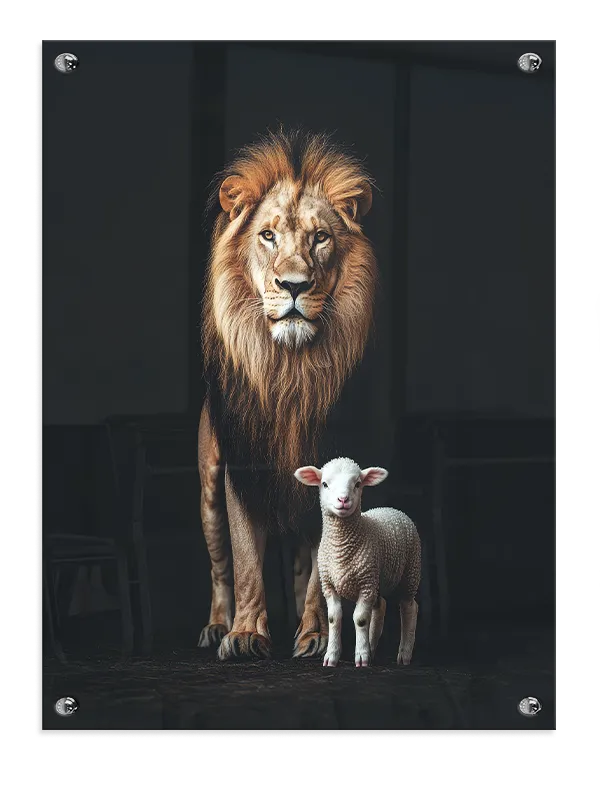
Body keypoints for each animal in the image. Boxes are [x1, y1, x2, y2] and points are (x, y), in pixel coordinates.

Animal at [197, 129, 378, 660]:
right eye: (268, 236)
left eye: (320, 237)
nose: (294, 286)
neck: (288, 371)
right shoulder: (242, 468)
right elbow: (244, 562)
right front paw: (245, 634)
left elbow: (320, 568)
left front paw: (316, 634)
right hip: (208, 487)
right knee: (219, 566)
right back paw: (216, 625)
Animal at [294, 457, 421, 668]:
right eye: (324, 484)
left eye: (358, 484)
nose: (343, 500)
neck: (341, 546)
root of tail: (392, 509)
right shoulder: (330, 585)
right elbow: (334, 618)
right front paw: (332, 656)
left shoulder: (366, 583)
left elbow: (360, 619)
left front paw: (360, 656)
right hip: (377, 581)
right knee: (380, 607)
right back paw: (371, 647)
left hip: (410, 571)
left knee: (409, 607)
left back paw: (404, 654)